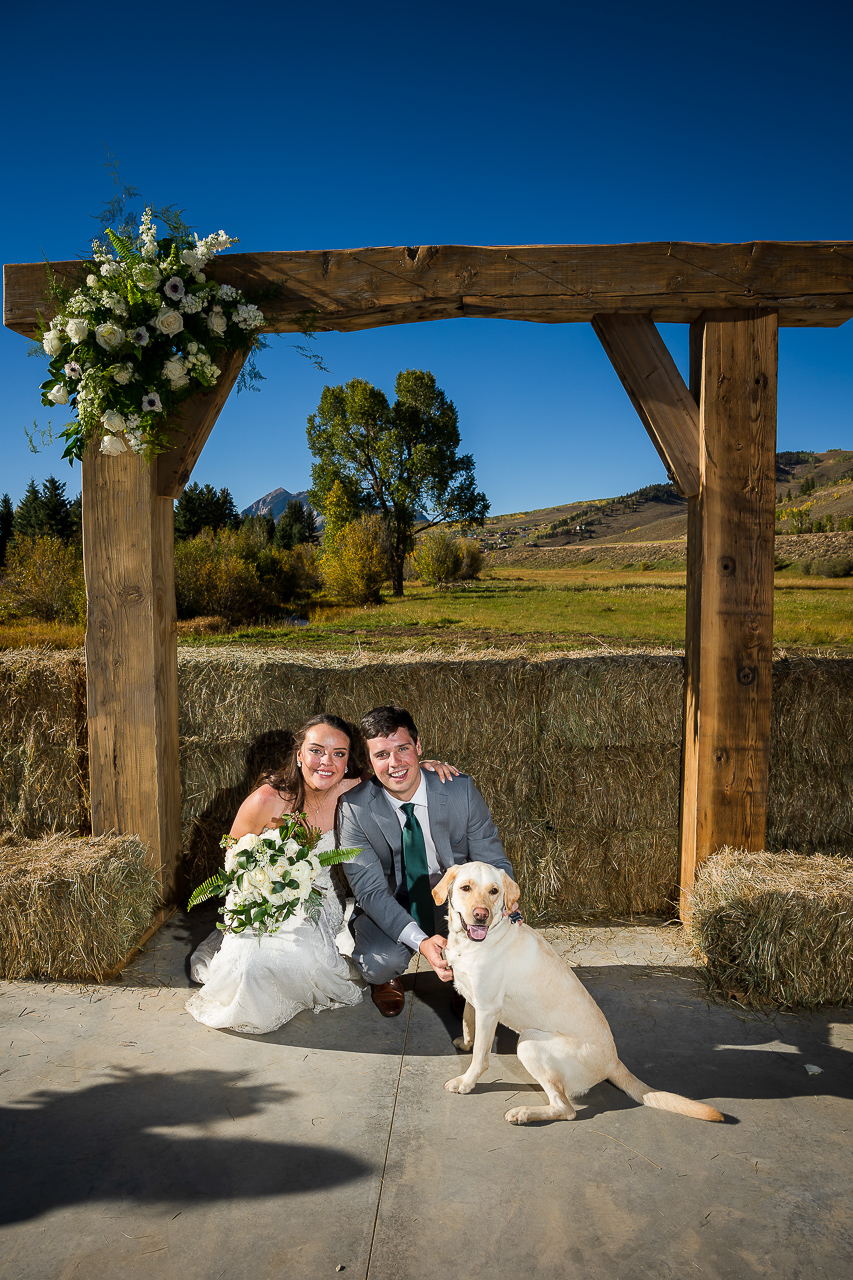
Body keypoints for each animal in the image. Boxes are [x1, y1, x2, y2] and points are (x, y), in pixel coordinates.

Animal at [435, 865, 722, 1126]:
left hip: (528, 1041)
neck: (471, 944)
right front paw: (465, 1043)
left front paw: (466, 1082)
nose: (480, 915)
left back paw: (524, 1113)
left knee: (566, 1109)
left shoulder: (488, 1009)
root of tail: (613, 1061)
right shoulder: (473, 999)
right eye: (465, 888)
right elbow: (468, 1025)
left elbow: (480, 1057)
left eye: (494, 891)